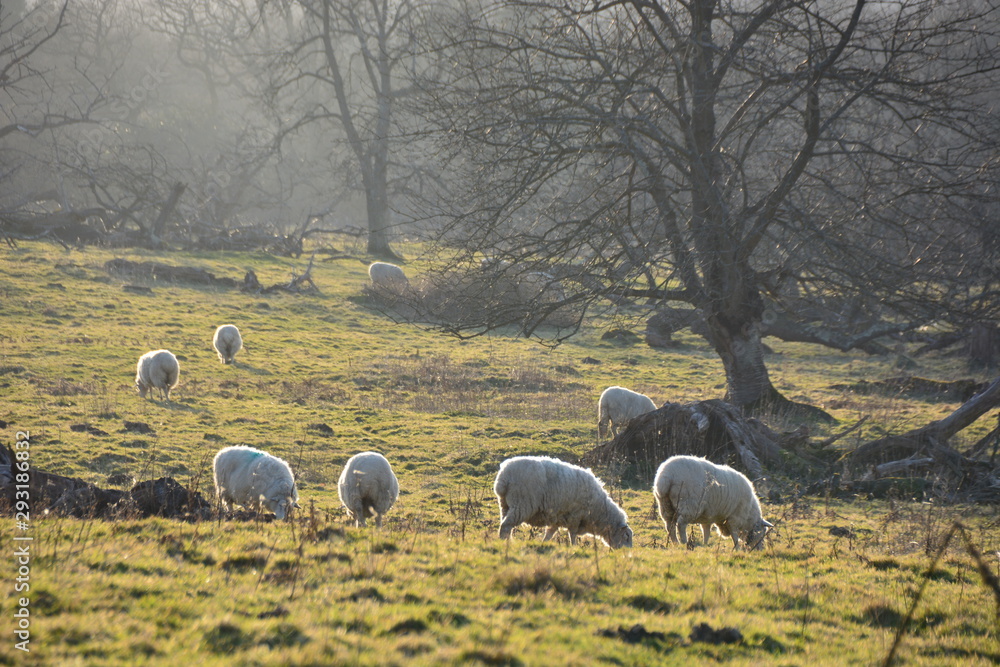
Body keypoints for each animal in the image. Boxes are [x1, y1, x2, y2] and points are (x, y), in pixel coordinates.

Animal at [494, 455, 633, 549]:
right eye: (626, 536)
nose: (627, 554)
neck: (599, 511)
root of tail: (504, 476)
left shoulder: (557, 517)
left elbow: (550, 532)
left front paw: (544, 543)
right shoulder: (576, 516)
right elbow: (573, 533)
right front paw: (574, 547)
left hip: (505, 504)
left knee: (505, 523)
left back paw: (506, 541)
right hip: (522, 504)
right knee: (506, 525)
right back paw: (504, 542)